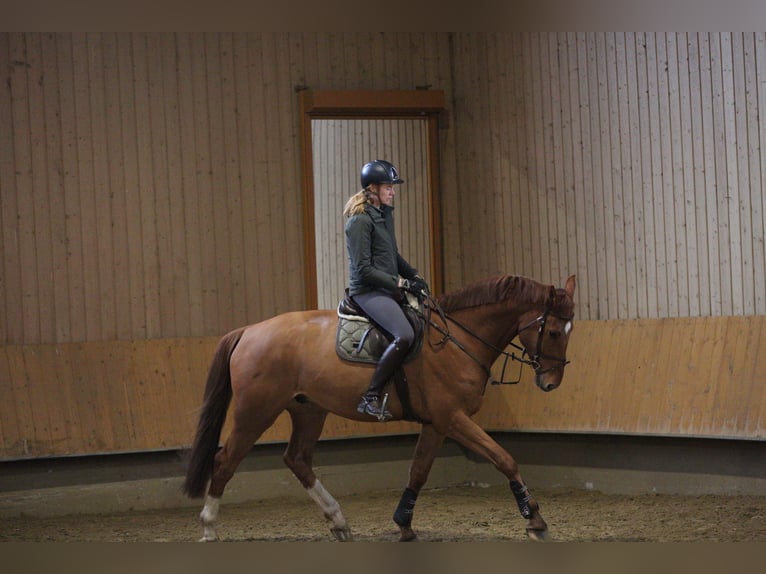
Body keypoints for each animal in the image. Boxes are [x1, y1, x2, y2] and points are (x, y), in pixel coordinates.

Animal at [182, 274, 576, 544]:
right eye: (555, 332)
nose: (552, 382)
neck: (457, 340)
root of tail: (249, 330)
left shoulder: (437, 424)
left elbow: (418, 472)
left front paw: (404, 523)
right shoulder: (454, 419)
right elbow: (503, 458)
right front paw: (534, 518)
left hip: (308, 410)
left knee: (297, 459)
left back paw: (338, 521)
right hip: (256, 412)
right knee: (225, 461)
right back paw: (209, 526)